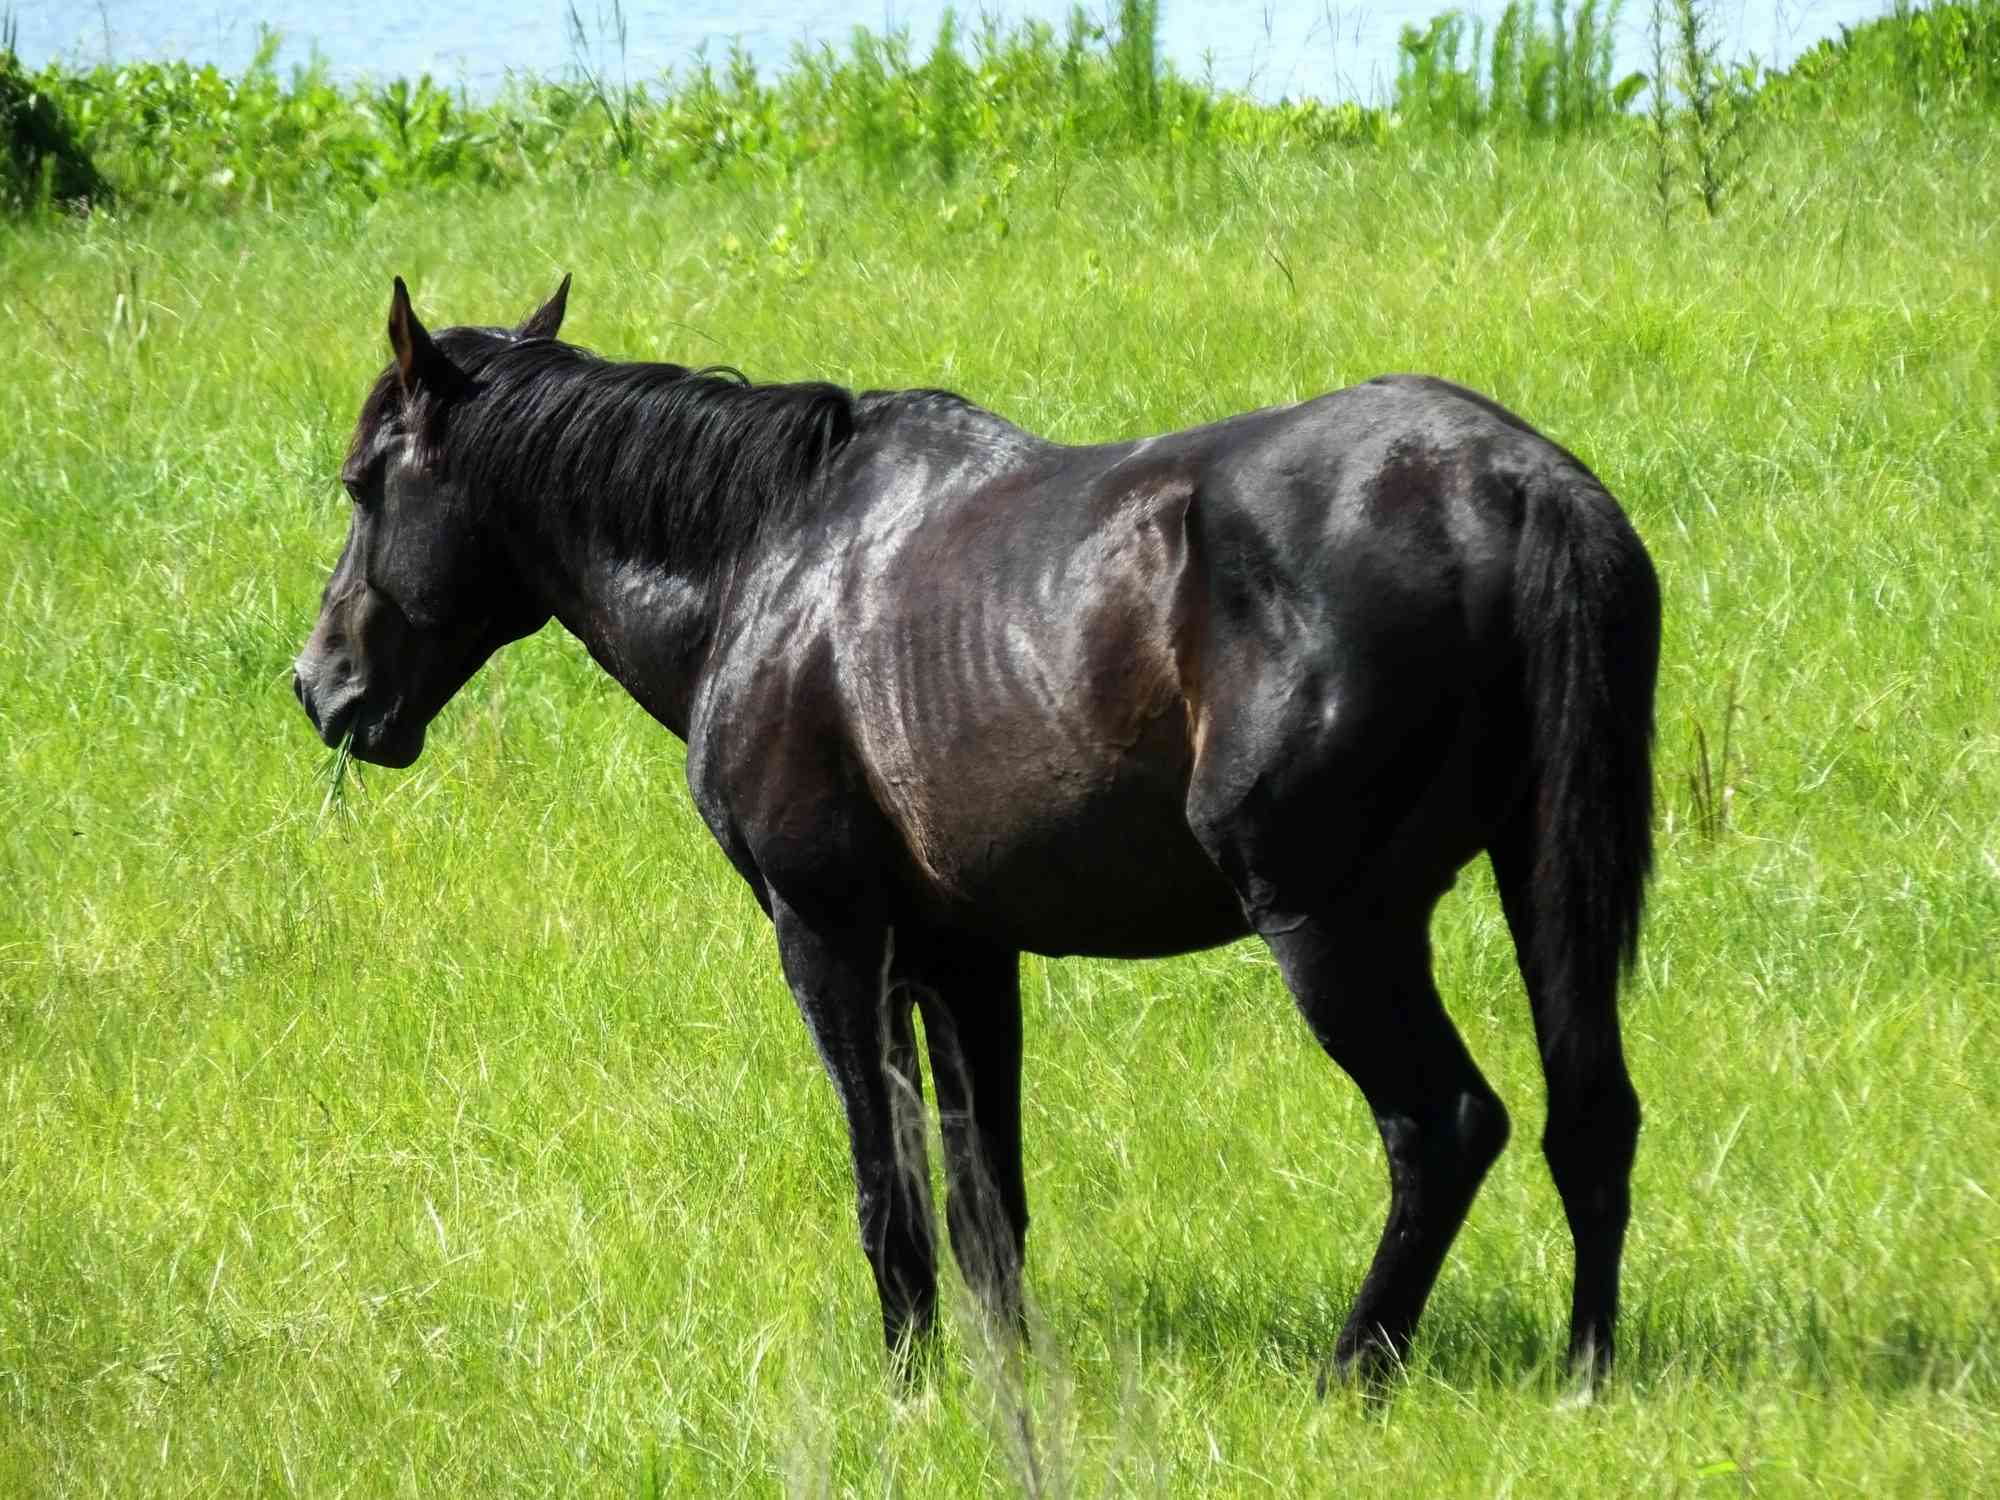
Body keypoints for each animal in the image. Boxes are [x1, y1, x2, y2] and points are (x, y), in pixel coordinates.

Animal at [296, 280, 1664, 1384]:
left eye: (364, 485)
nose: (322, 689)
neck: (772, 558)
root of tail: (1514, 485)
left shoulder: (830, 935)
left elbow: (888, 1190)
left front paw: (911, 1389)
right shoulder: (964, 954)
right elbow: (984, 1200)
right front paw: (1008, 1391)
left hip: (1333, 926)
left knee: (1443, 1128)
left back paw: (1351, 1373)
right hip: (1538, 879)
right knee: (1589, 1116)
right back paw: (1583, 1373)